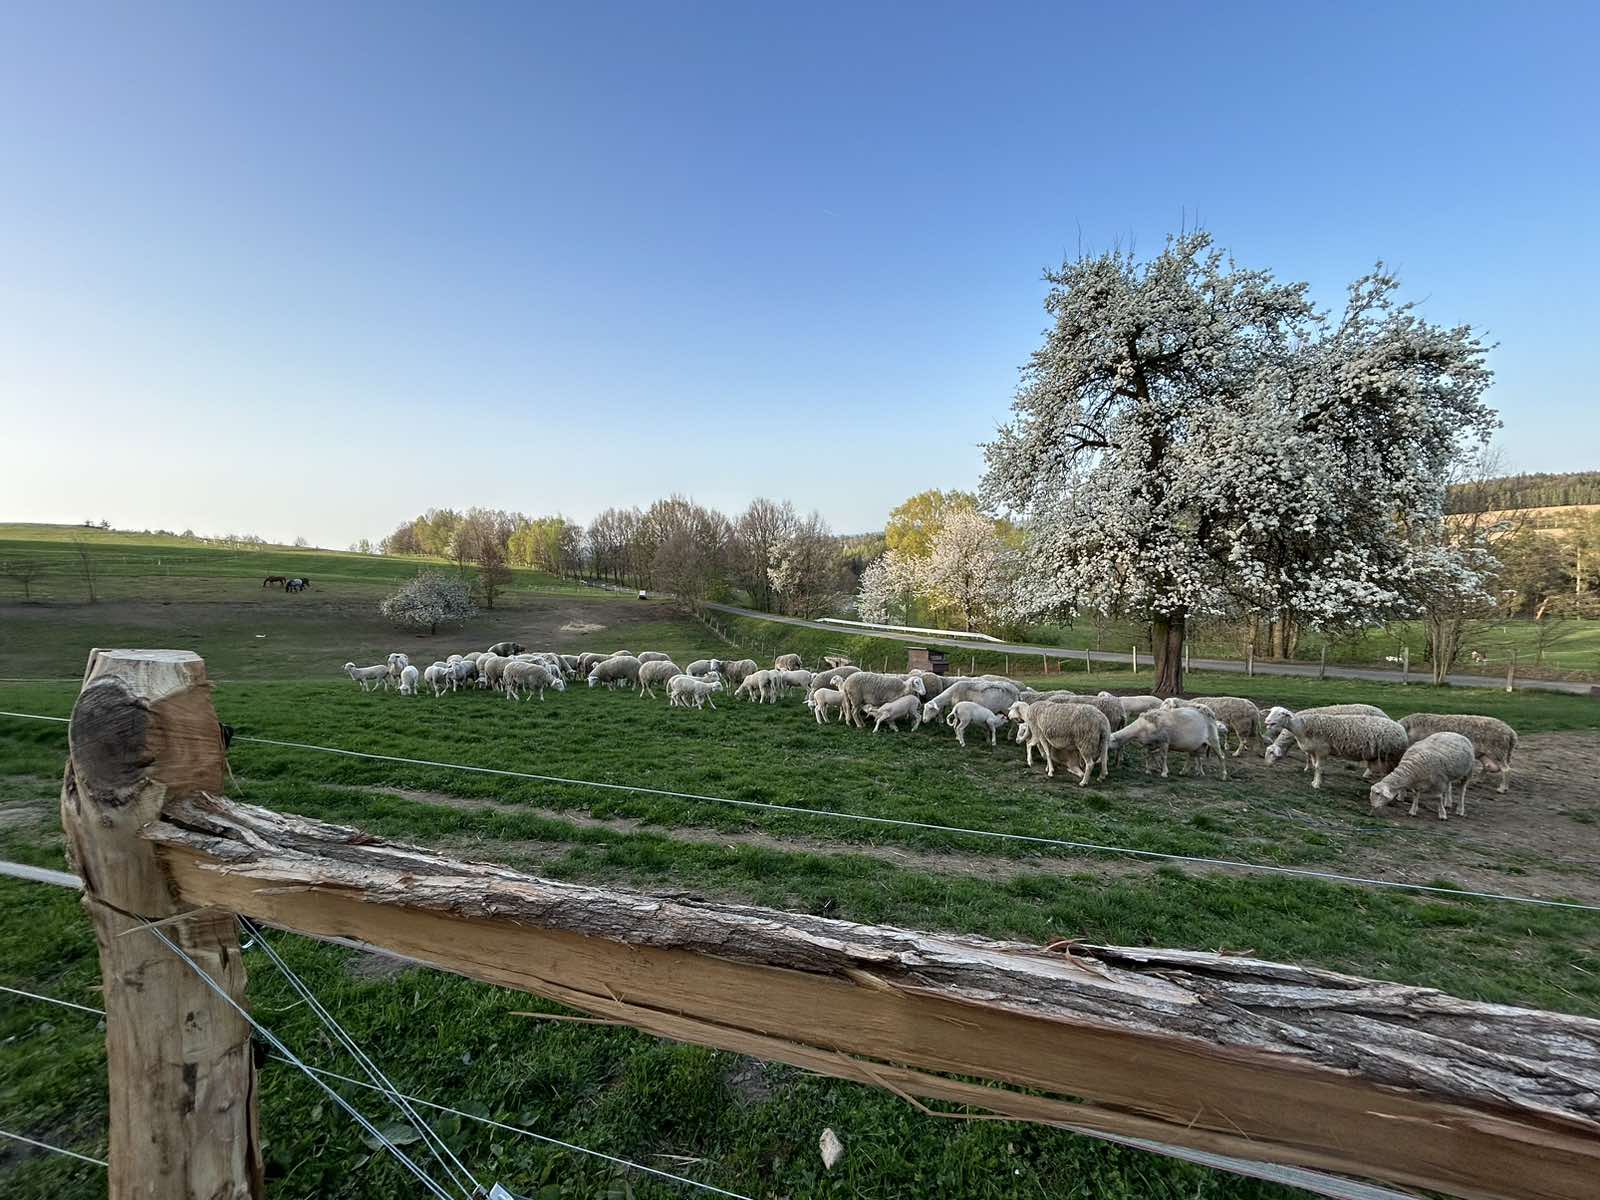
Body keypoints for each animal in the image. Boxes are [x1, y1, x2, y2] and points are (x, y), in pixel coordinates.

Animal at [1263, 713, 1409, 790]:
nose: (1266, 721)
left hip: (1393, 756)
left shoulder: (1322, 750)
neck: (1301, 728)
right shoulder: (1314, 751)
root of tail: (1401, 728)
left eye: (1280, 713)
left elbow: (1318, 767)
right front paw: (1314, 780)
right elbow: (1315, 766)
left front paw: (1316, 784)